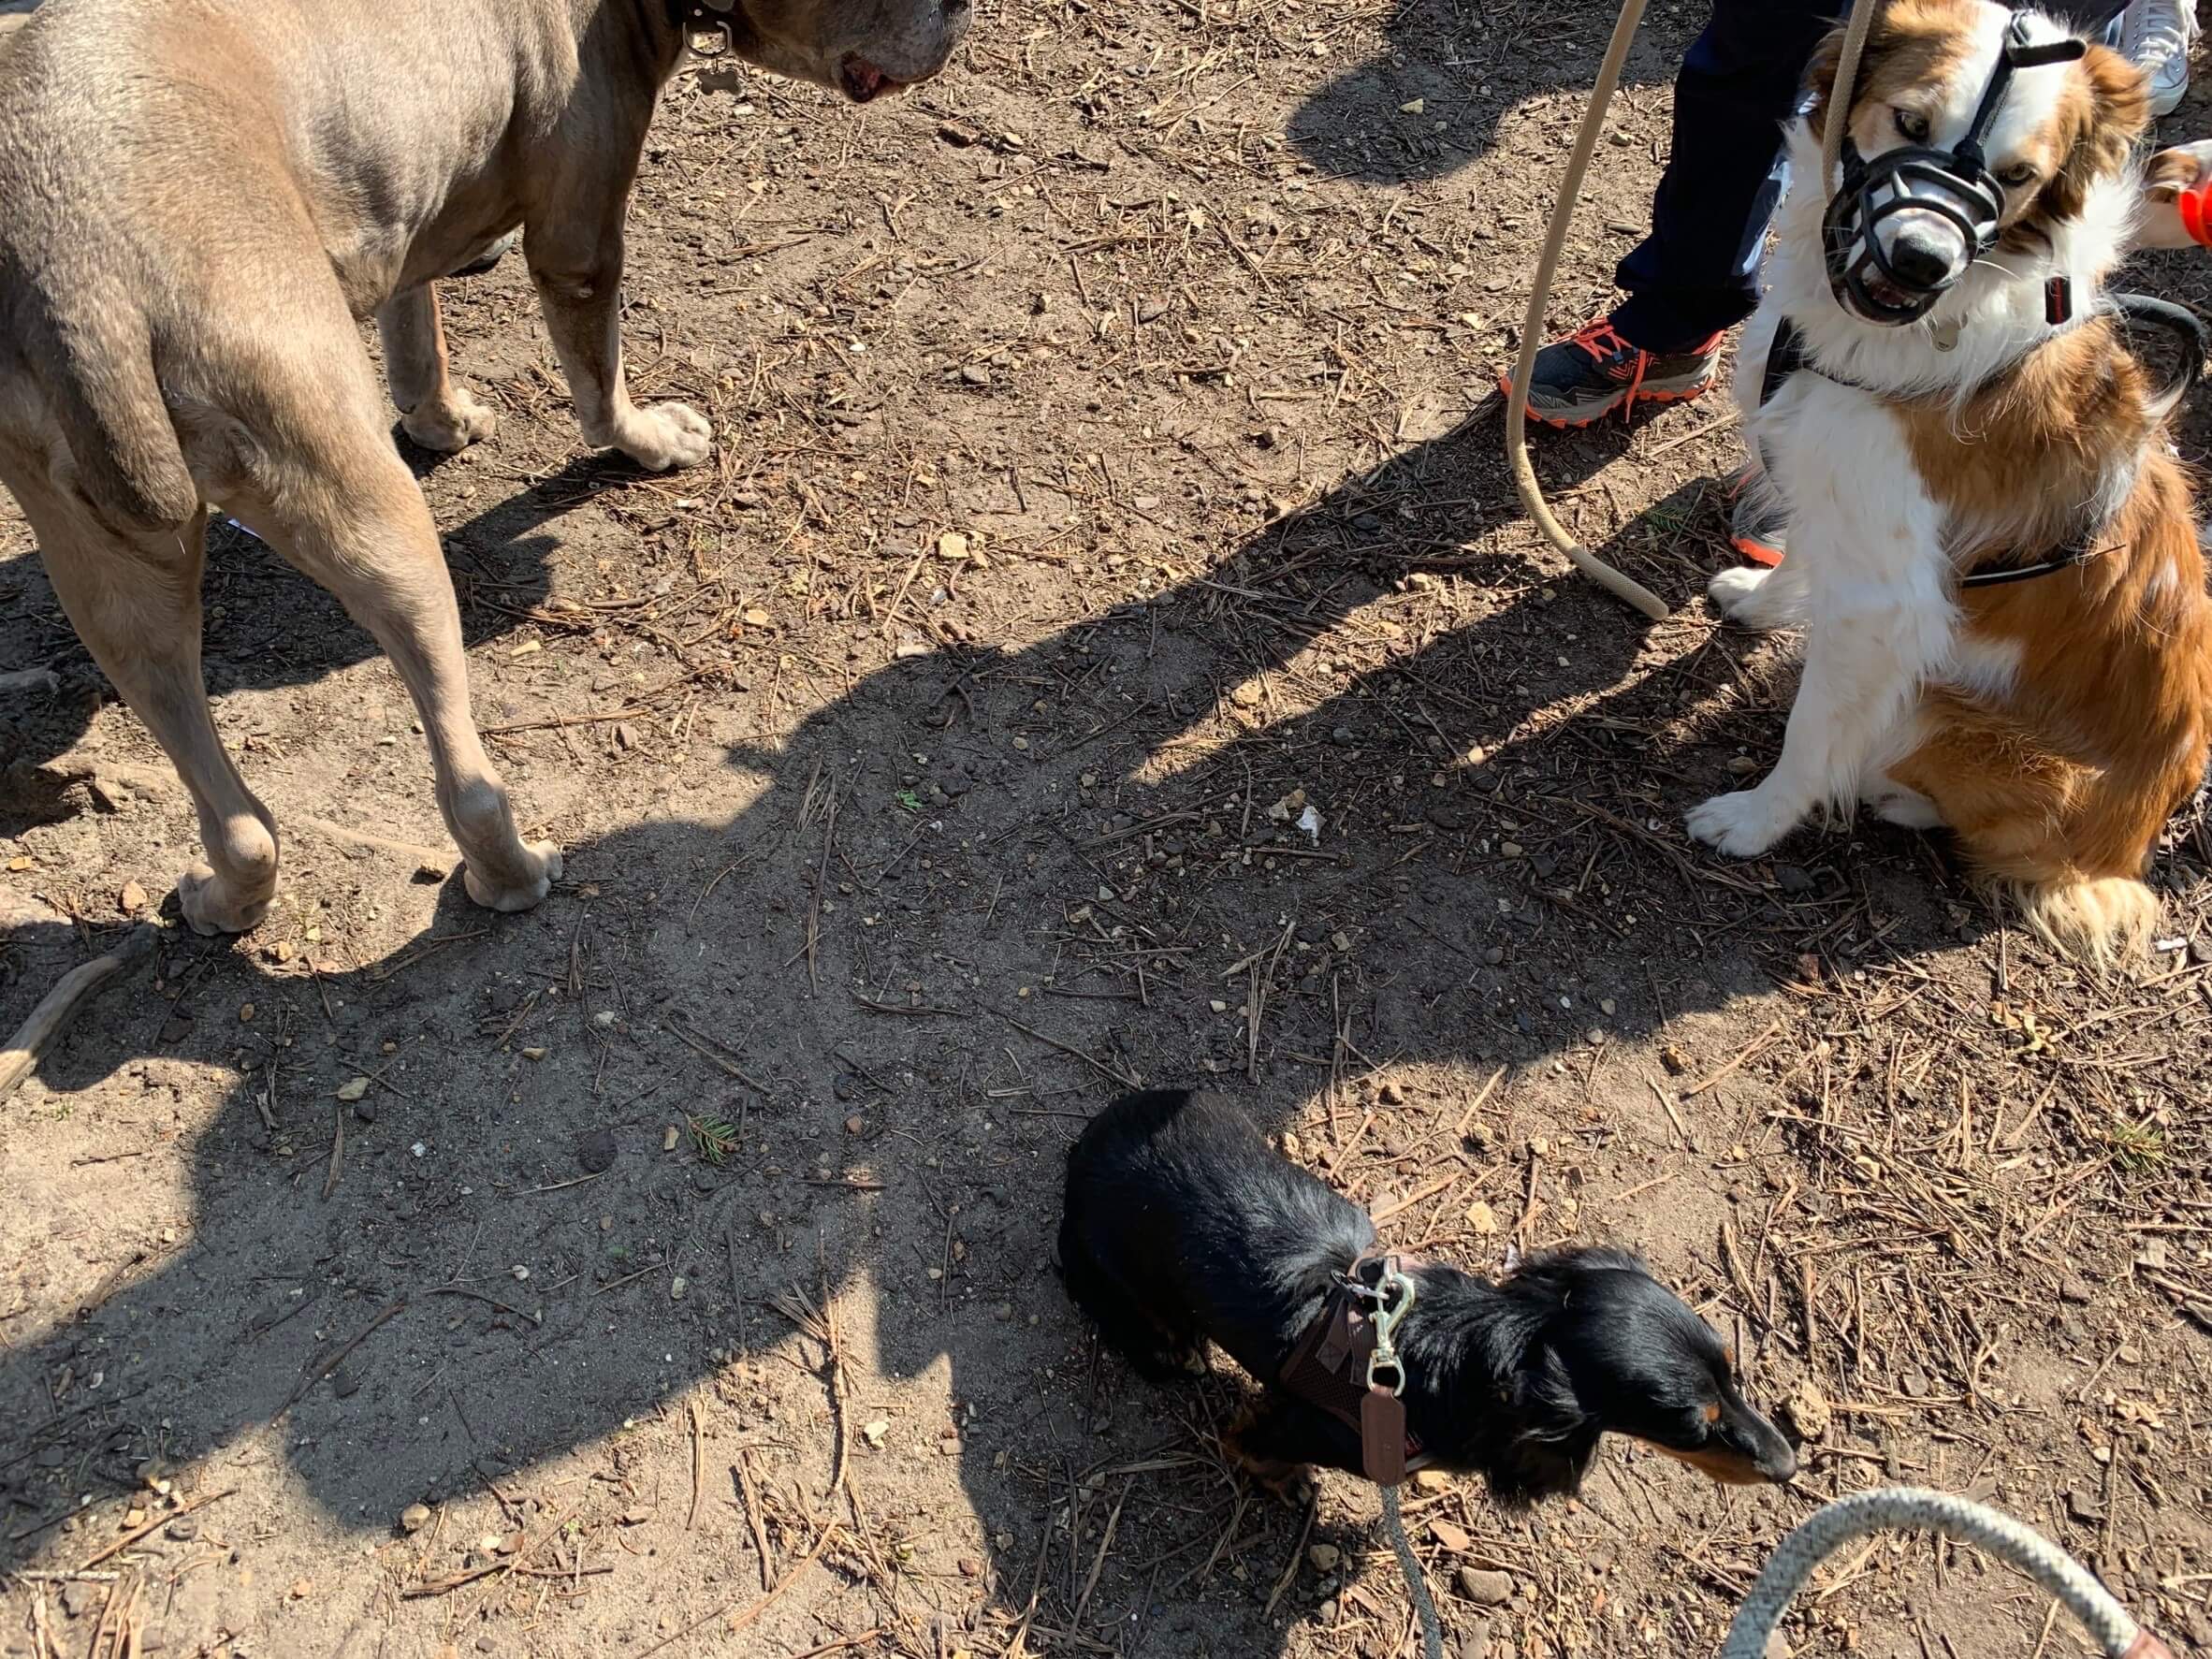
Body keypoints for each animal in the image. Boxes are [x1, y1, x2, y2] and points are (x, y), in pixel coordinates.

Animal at [0, 0, 968, 938]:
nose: (961, 12)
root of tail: (84, 274)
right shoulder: (578, 244)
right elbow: (599, 381)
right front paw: (649, 438)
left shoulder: (408, 210)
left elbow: (414, 319)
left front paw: (441, 417)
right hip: (376, 526)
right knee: (464, 776)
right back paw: (513, 875)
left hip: (104, 573)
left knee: (232, 807)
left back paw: (223, 901)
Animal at [1690, 0, 2212, 959]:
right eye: (1910, 122)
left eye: (2016, 177)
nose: (1920, 261)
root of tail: (2127, 853)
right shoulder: (1830, 487)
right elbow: (1803, 555)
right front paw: (1763, 597)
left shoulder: (1883, 606)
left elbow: (1811, 729)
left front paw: (1755, 820)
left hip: (1943, 714)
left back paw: (1890, 794)